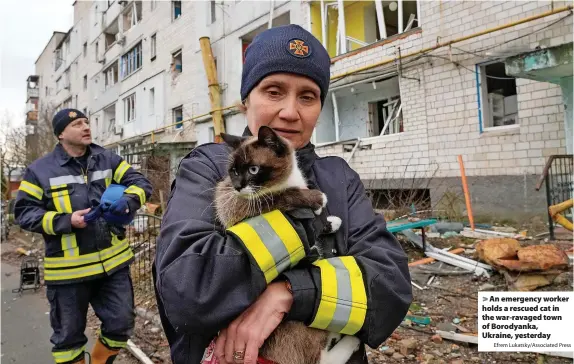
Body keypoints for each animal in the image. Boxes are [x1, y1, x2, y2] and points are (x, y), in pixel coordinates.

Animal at [214, 126, 362, 364]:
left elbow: (316, 222)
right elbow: (282, 196)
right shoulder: (238, 206)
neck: (287, 180)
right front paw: (317, 199)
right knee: (320, 358)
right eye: (233, 171)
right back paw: (350, 339)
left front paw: (330, 221)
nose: (237, 187)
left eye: (254, 169)